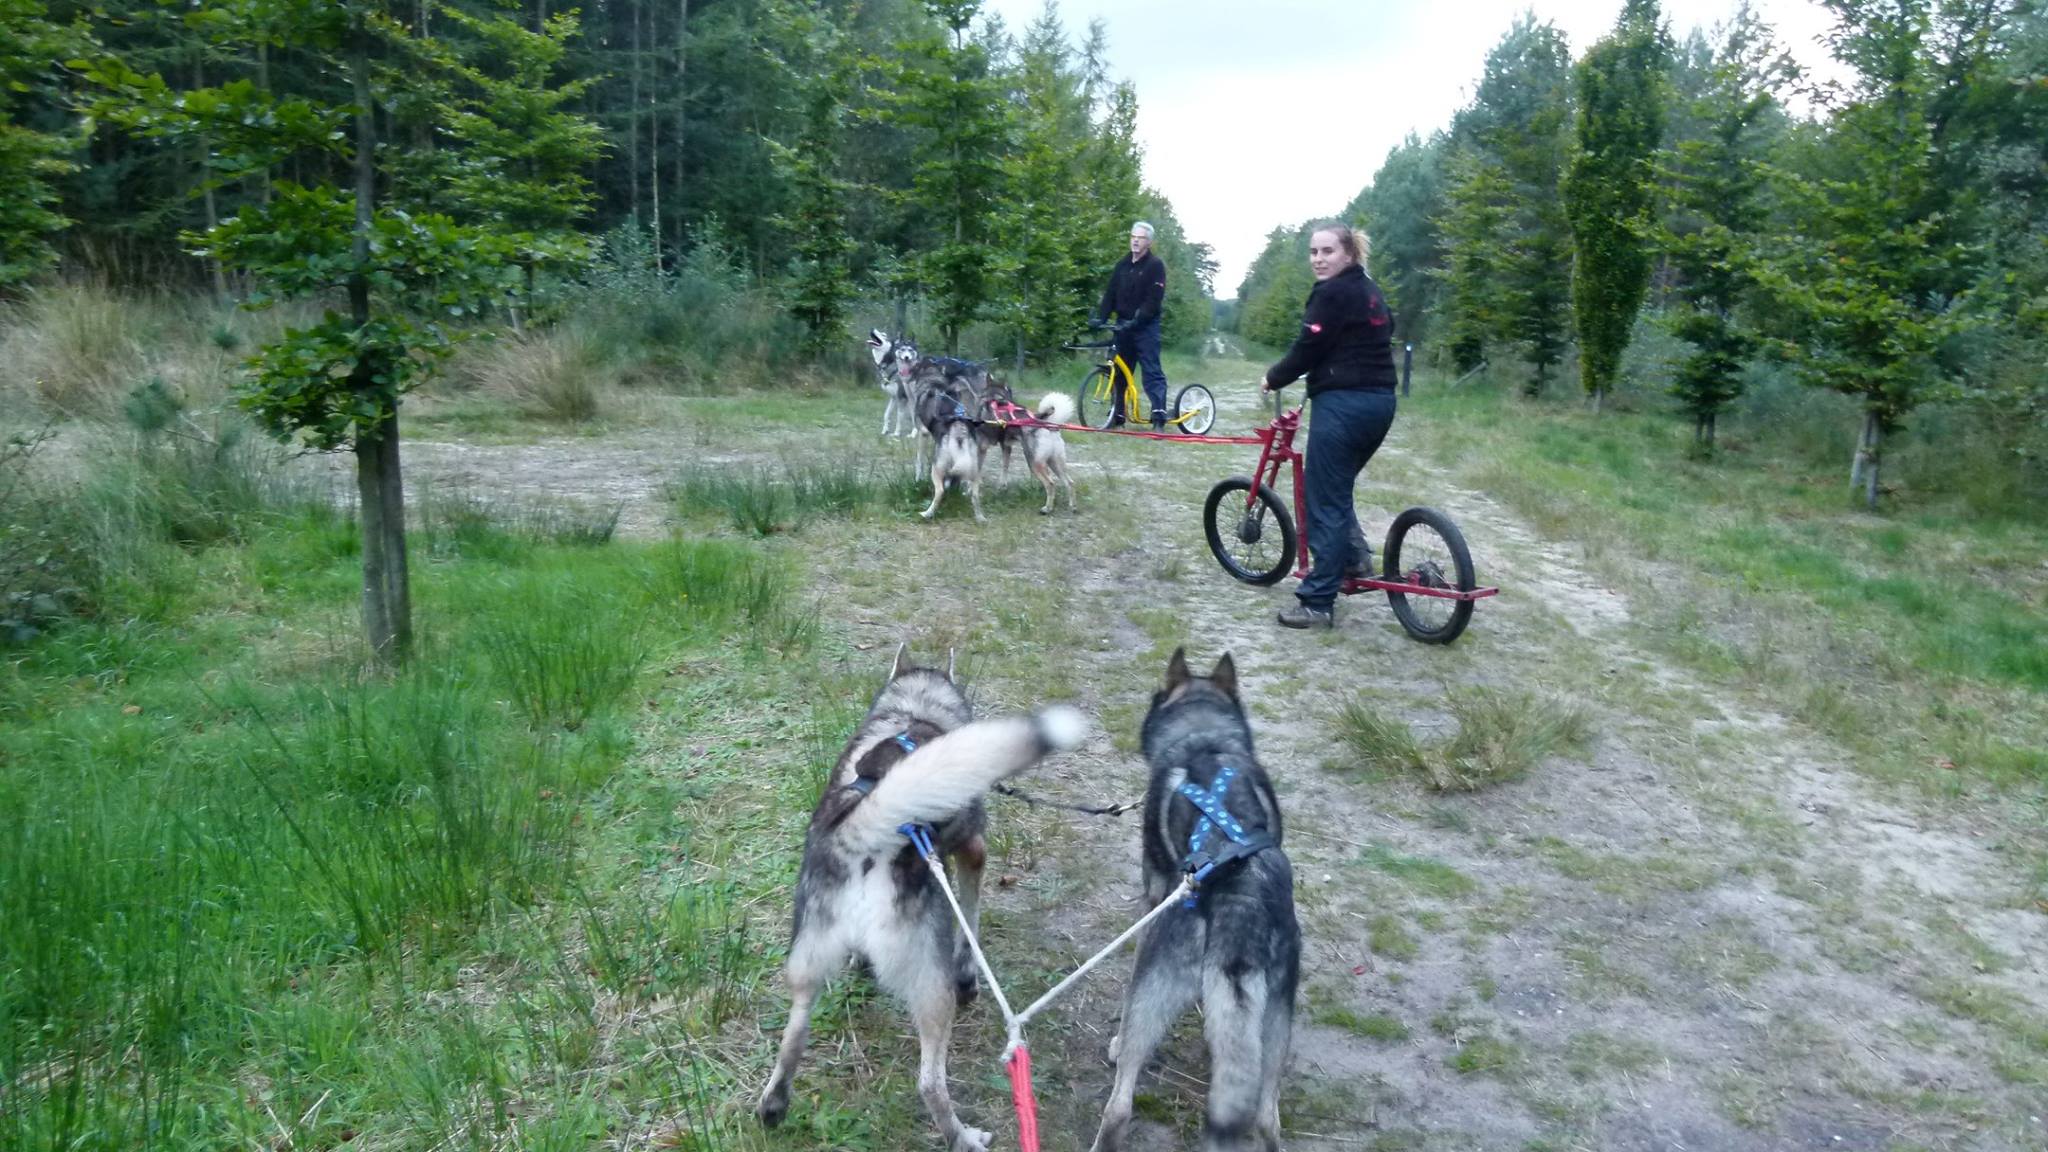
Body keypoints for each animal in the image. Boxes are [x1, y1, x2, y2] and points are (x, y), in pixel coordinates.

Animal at [761, 647, 1089, 1147]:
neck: (915, 710)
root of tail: (865, 838)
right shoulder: (973, 852)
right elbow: (970, 921)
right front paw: (970, 972)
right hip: (934, 993)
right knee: (929, 1083)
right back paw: (963, 1138)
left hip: (805, 964)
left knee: (792, 1038)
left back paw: (774, 1106)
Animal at [1089, 647, 1294, 1147]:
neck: (1206, 738)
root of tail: (1241, 895)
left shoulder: (1153, 900)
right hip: (1278, 1019)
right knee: (1266, 1118)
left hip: (1154, 989)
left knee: (1120, 1105)